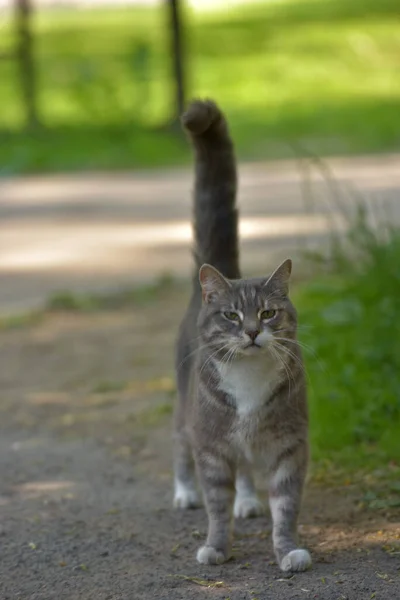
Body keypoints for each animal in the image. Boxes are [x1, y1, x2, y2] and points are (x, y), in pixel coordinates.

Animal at [172, 99, 310, 572]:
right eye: (232, 315)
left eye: (267, 313)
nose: (251, 332)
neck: (249, 381)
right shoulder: (212, 447)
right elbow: (216, 504)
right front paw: (216, 546)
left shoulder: (290, 447)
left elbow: (286, 507)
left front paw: (288, 551)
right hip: (185, 408)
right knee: (180, 445)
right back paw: (184, 492)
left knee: (248, 472)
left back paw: (248, 500)